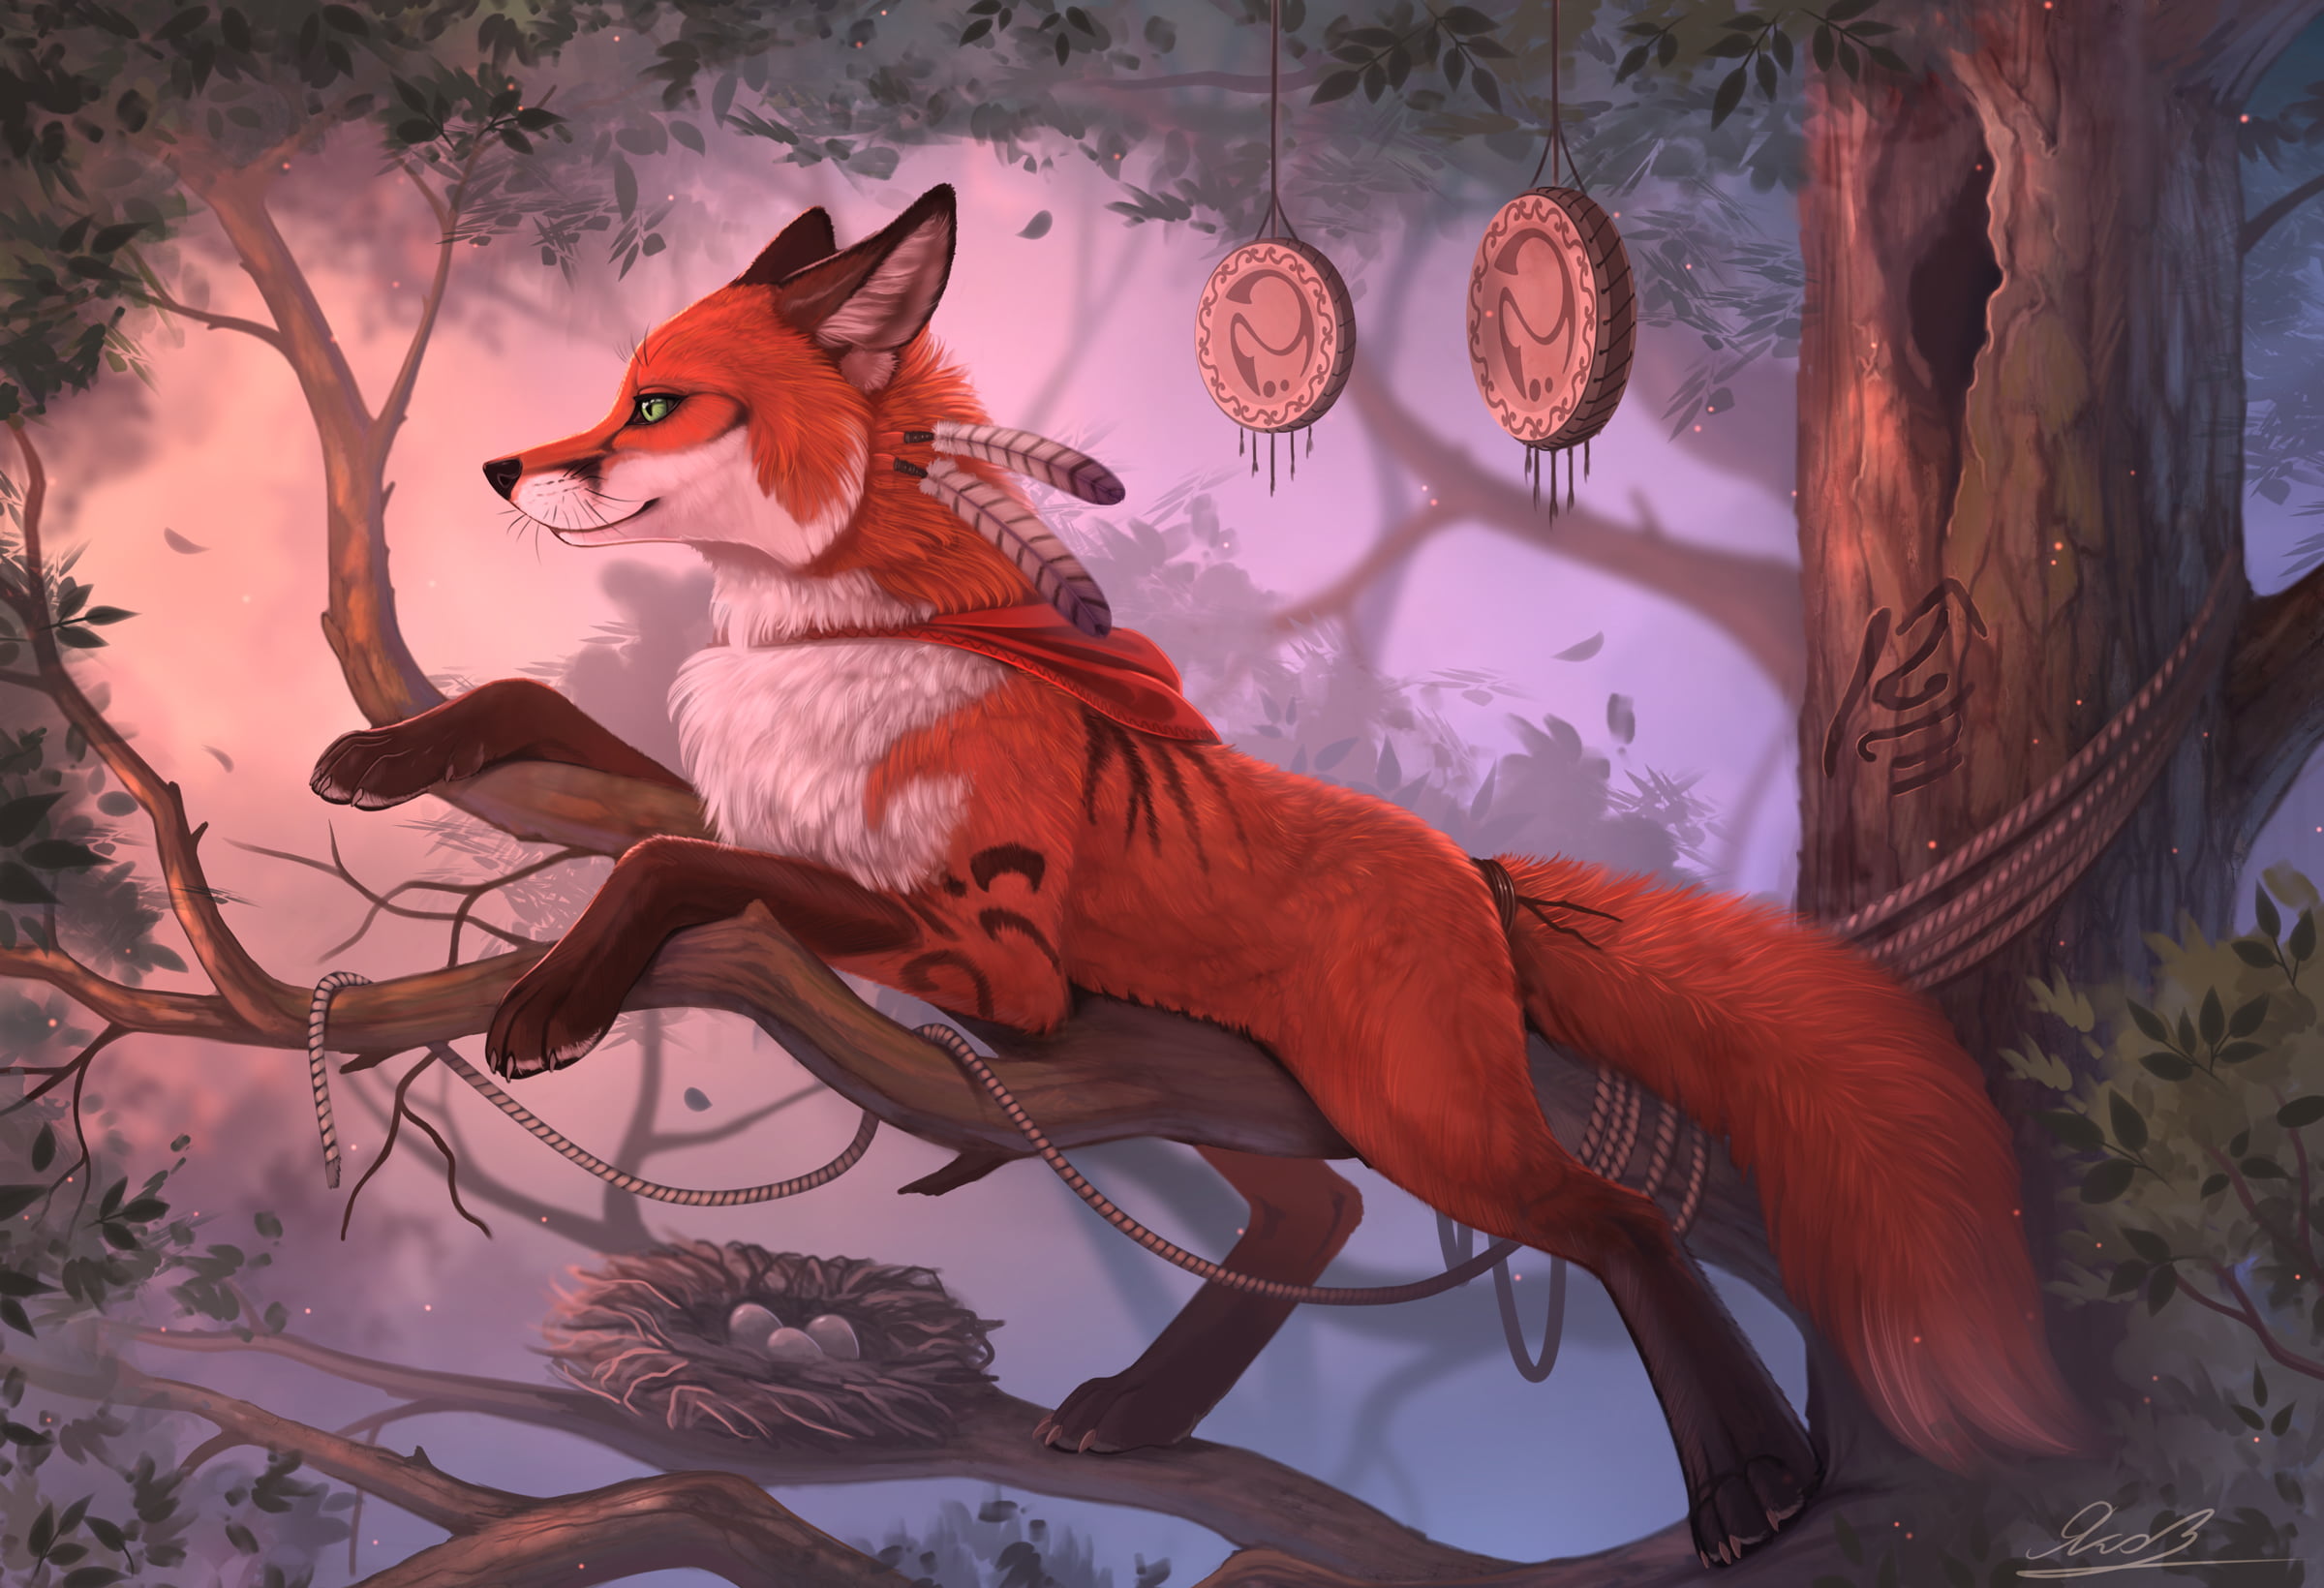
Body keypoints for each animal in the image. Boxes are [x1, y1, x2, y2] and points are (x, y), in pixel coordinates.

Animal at [311, 184, 2095, 1566]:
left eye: (654, 404)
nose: (497, 474)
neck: (833, 637)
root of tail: (1473, 869)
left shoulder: (995, 961)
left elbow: (674, 855)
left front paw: (553, 999)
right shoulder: (783, 815)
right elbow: (561, 728)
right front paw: (394, 758)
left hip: (1401, 1106)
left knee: (1608, 1223)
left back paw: (1748, 1481)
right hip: (1219, 1090)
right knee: (1317, 1208)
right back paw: (1146, 1406)